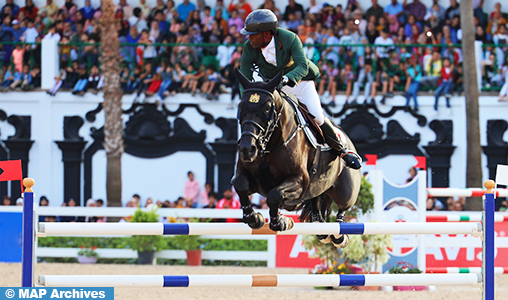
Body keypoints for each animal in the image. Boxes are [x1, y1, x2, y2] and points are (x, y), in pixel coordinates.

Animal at [232, 69, 364, 246]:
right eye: (240, 106)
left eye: (267, 108)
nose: (247, 149)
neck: (270, 145)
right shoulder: (251, 179)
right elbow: (239, 184)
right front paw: (254, 218)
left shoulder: (300, 180)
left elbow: (275, 195)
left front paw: (280, 221)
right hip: (318, 188)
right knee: (316, 201)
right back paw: (321, 227)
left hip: (346, 191)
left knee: (344, 206)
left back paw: (339, 235)